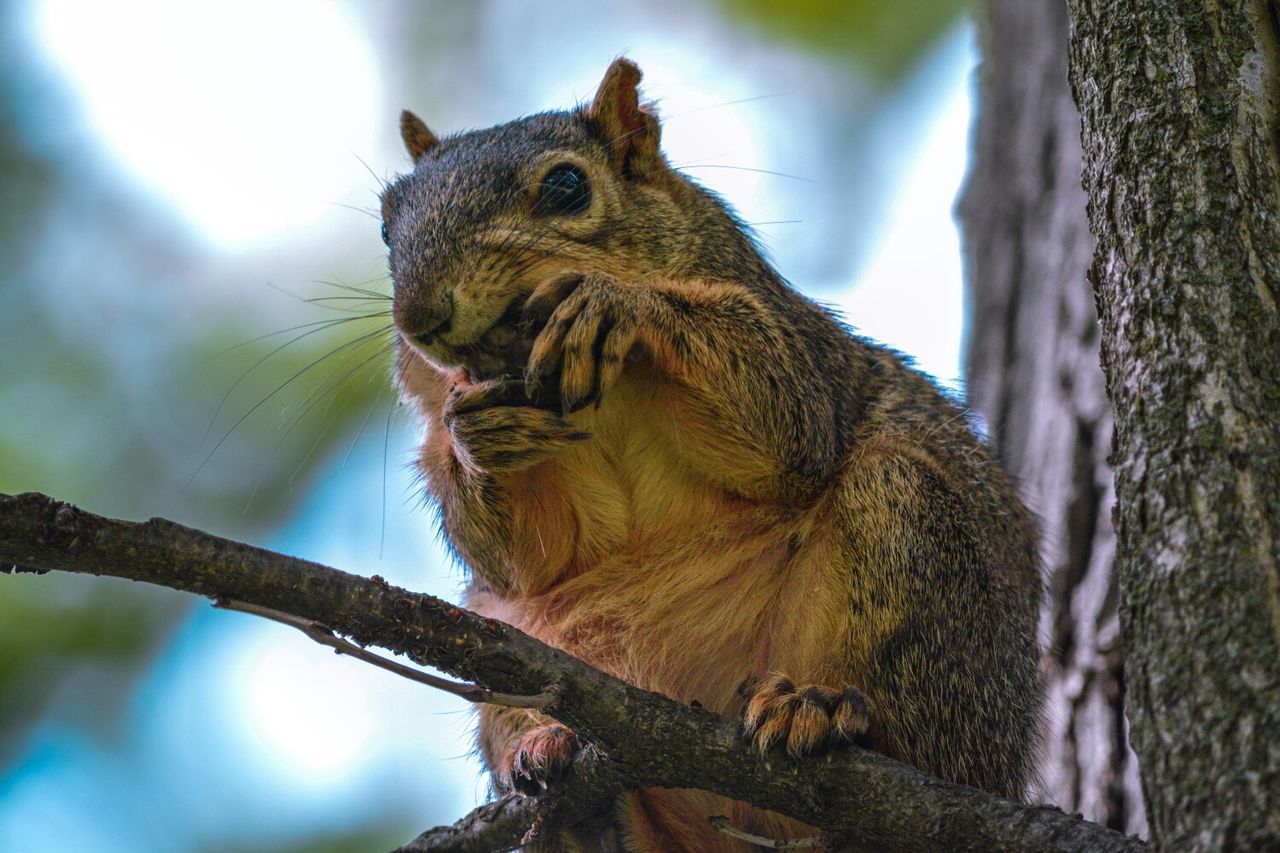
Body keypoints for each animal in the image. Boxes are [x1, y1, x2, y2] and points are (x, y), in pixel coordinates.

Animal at [384, 59, 1044, 850]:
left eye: (568, 187)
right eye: (387, 223)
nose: (420, 315)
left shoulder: (798, 348)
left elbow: (786, 425)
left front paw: (617, 302)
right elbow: (521, 557)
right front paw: (474, 434)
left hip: (913, 544)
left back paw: (821, 709)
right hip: (506, 644)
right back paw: (565, 777)